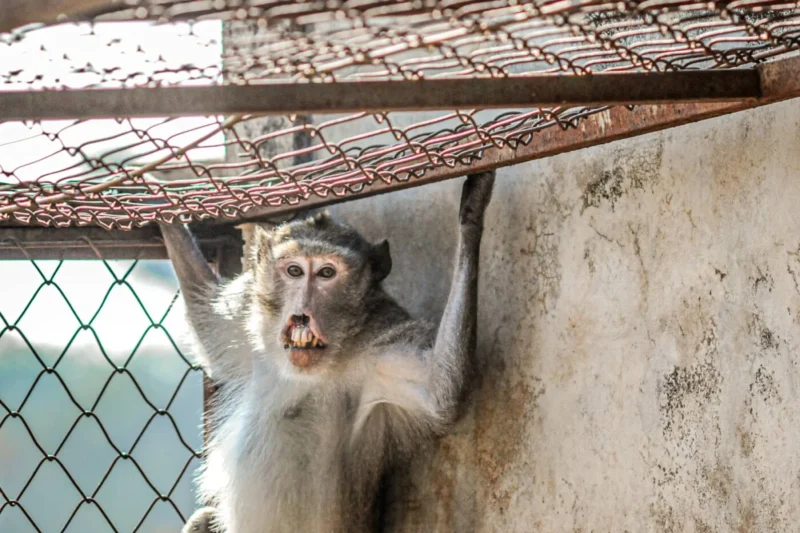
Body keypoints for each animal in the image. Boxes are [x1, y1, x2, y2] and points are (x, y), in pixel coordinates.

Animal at [159, 171, 495, 533]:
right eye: (294, 271)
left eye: (326, 273)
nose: (303, 312)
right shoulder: (250, 314)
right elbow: (207, 319)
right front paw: (163, 207)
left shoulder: (379, 347)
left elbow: (439, 393)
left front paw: (472, 212)